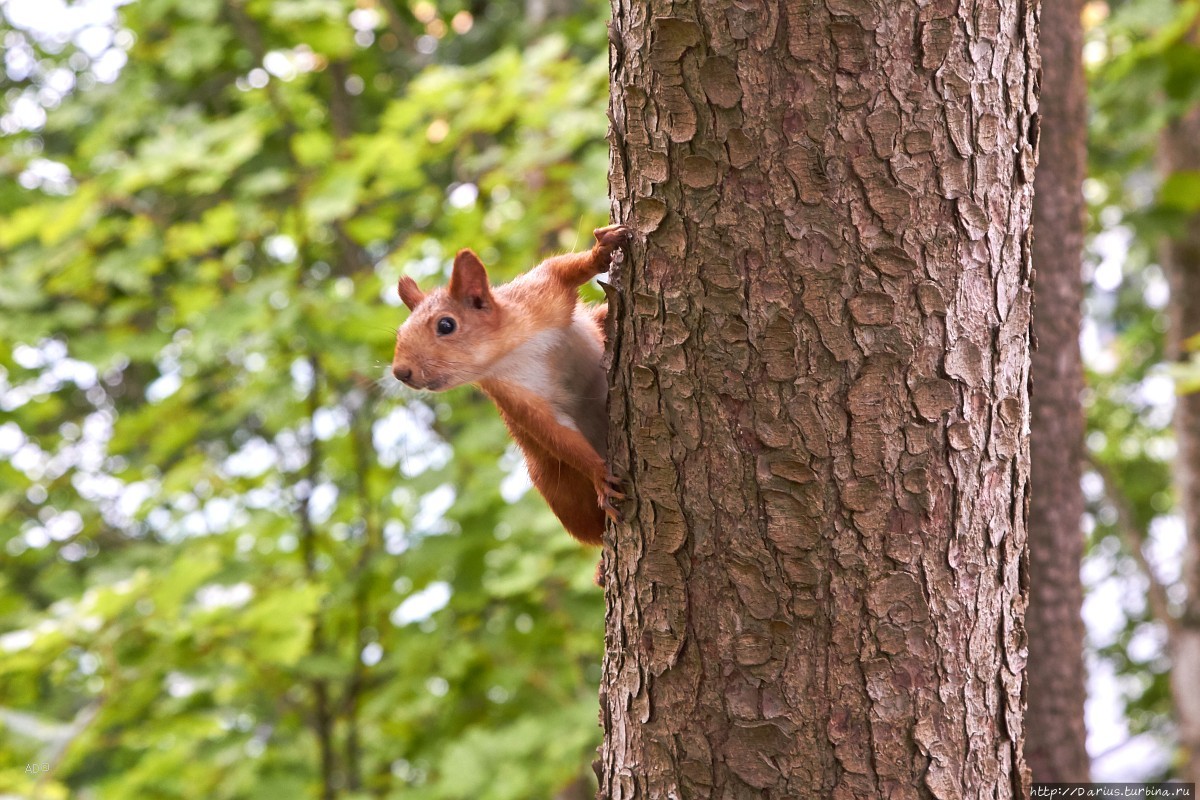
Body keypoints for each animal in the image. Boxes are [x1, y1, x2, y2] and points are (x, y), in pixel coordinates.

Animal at [393, 224, 638, 544]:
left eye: (446, 325)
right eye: (400, 332)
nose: (400, 372)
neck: (511, 348)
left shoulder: (536, 295)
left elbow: (560, 268)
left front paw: (602, 249)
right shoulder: (513, 395)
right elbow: (554, 433)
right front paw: (600, 475)